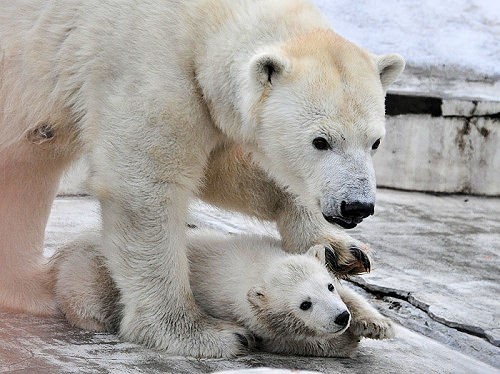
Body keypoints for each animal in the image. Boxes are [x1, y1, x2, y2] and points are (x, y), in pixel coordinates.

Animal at [0, 0, 404, 356]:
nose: (356, 206)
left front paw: (340, 250)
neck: (204, 21)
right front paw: (201, 334)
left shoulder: (204, 98)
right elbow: (146, 185)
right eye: (320, 141)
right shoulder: (144, 67)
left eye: (375, 141)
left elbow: (227, 170)